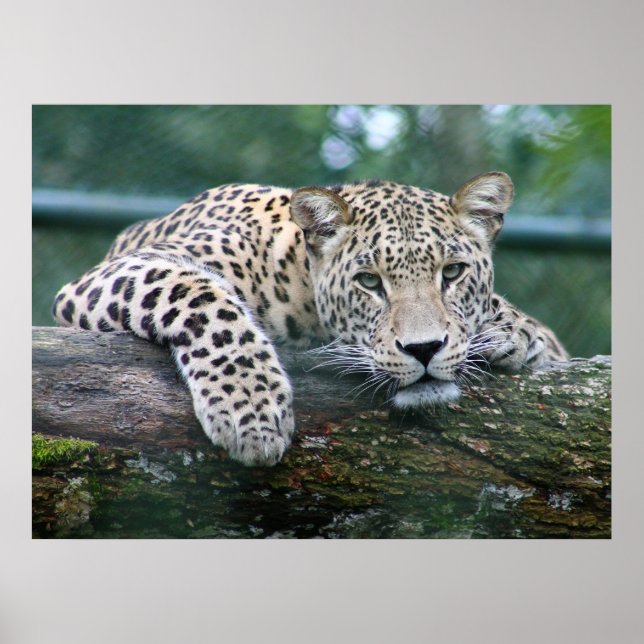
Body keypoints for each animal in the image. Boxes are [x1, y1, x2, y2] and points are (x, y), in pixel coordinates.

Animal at [52, 171, 568, 466]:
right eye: (369, 281)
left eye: (453, 272)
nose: (423, 350)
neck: (297, 278)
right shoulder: (117, 273)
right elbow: (202, 297)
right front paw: (252, 411)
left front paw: (516, 332)